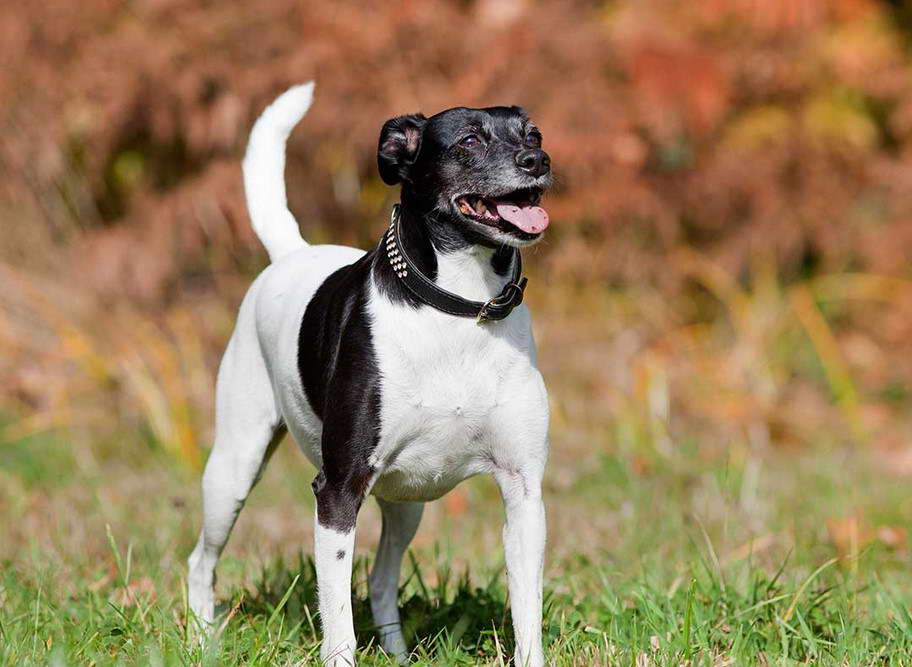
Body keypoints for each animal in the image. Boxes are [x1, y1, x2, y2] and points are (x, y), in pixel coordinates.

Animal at [189, 83, 552, 667]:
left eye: (533, 134)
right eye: (469, 140)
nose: (537, 161)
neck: (457, 310)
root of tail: (293, 253)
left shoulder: (524, 492)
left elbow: (527, 613)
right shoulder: (337, 491)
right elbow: (338, 616)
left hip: (406, 503)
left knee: (382, 579)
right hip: (233, 469)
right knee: (201, 560)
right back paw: (201, 639)